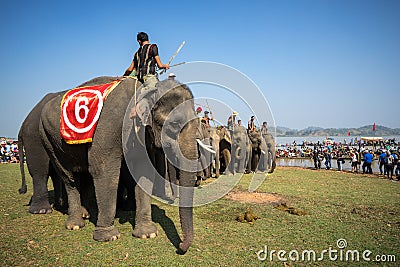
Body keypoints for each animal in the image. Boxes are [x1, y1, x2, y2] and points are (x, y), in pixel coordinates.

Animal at [38, 77, 198, 253]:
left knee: (84, 175)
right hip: (49, 139)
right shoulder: (109, 129)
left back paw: (85, 214)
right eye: (174, 125)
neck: (143, 90)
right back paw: (75, 224)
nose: (180, 248)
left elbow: (144, 172)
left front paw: (147, 234)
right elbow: (103, 171)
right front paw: (108, 236)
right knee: (69, 178)